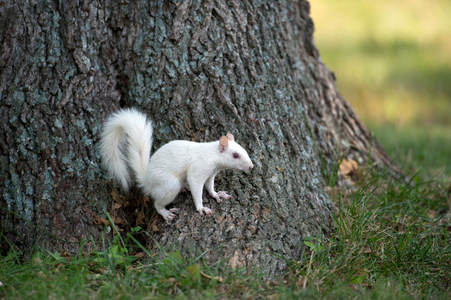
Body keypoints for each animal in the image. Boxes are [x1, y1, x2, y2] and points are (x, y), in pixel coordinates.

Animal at [100, 109, 254, 221]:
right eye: (235, 155)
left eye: (244, 150)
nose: (251, 166)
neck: (213, 155)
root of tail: (147, 181)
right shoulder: (198, 169)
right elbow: (196, 187)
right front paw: (201, 208)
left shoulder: (211, 174)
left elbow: (210, 186)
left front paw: (217, 194)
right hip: (168, 184)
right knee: (157, 204)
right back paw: (165, 213)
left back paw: (184, 188)